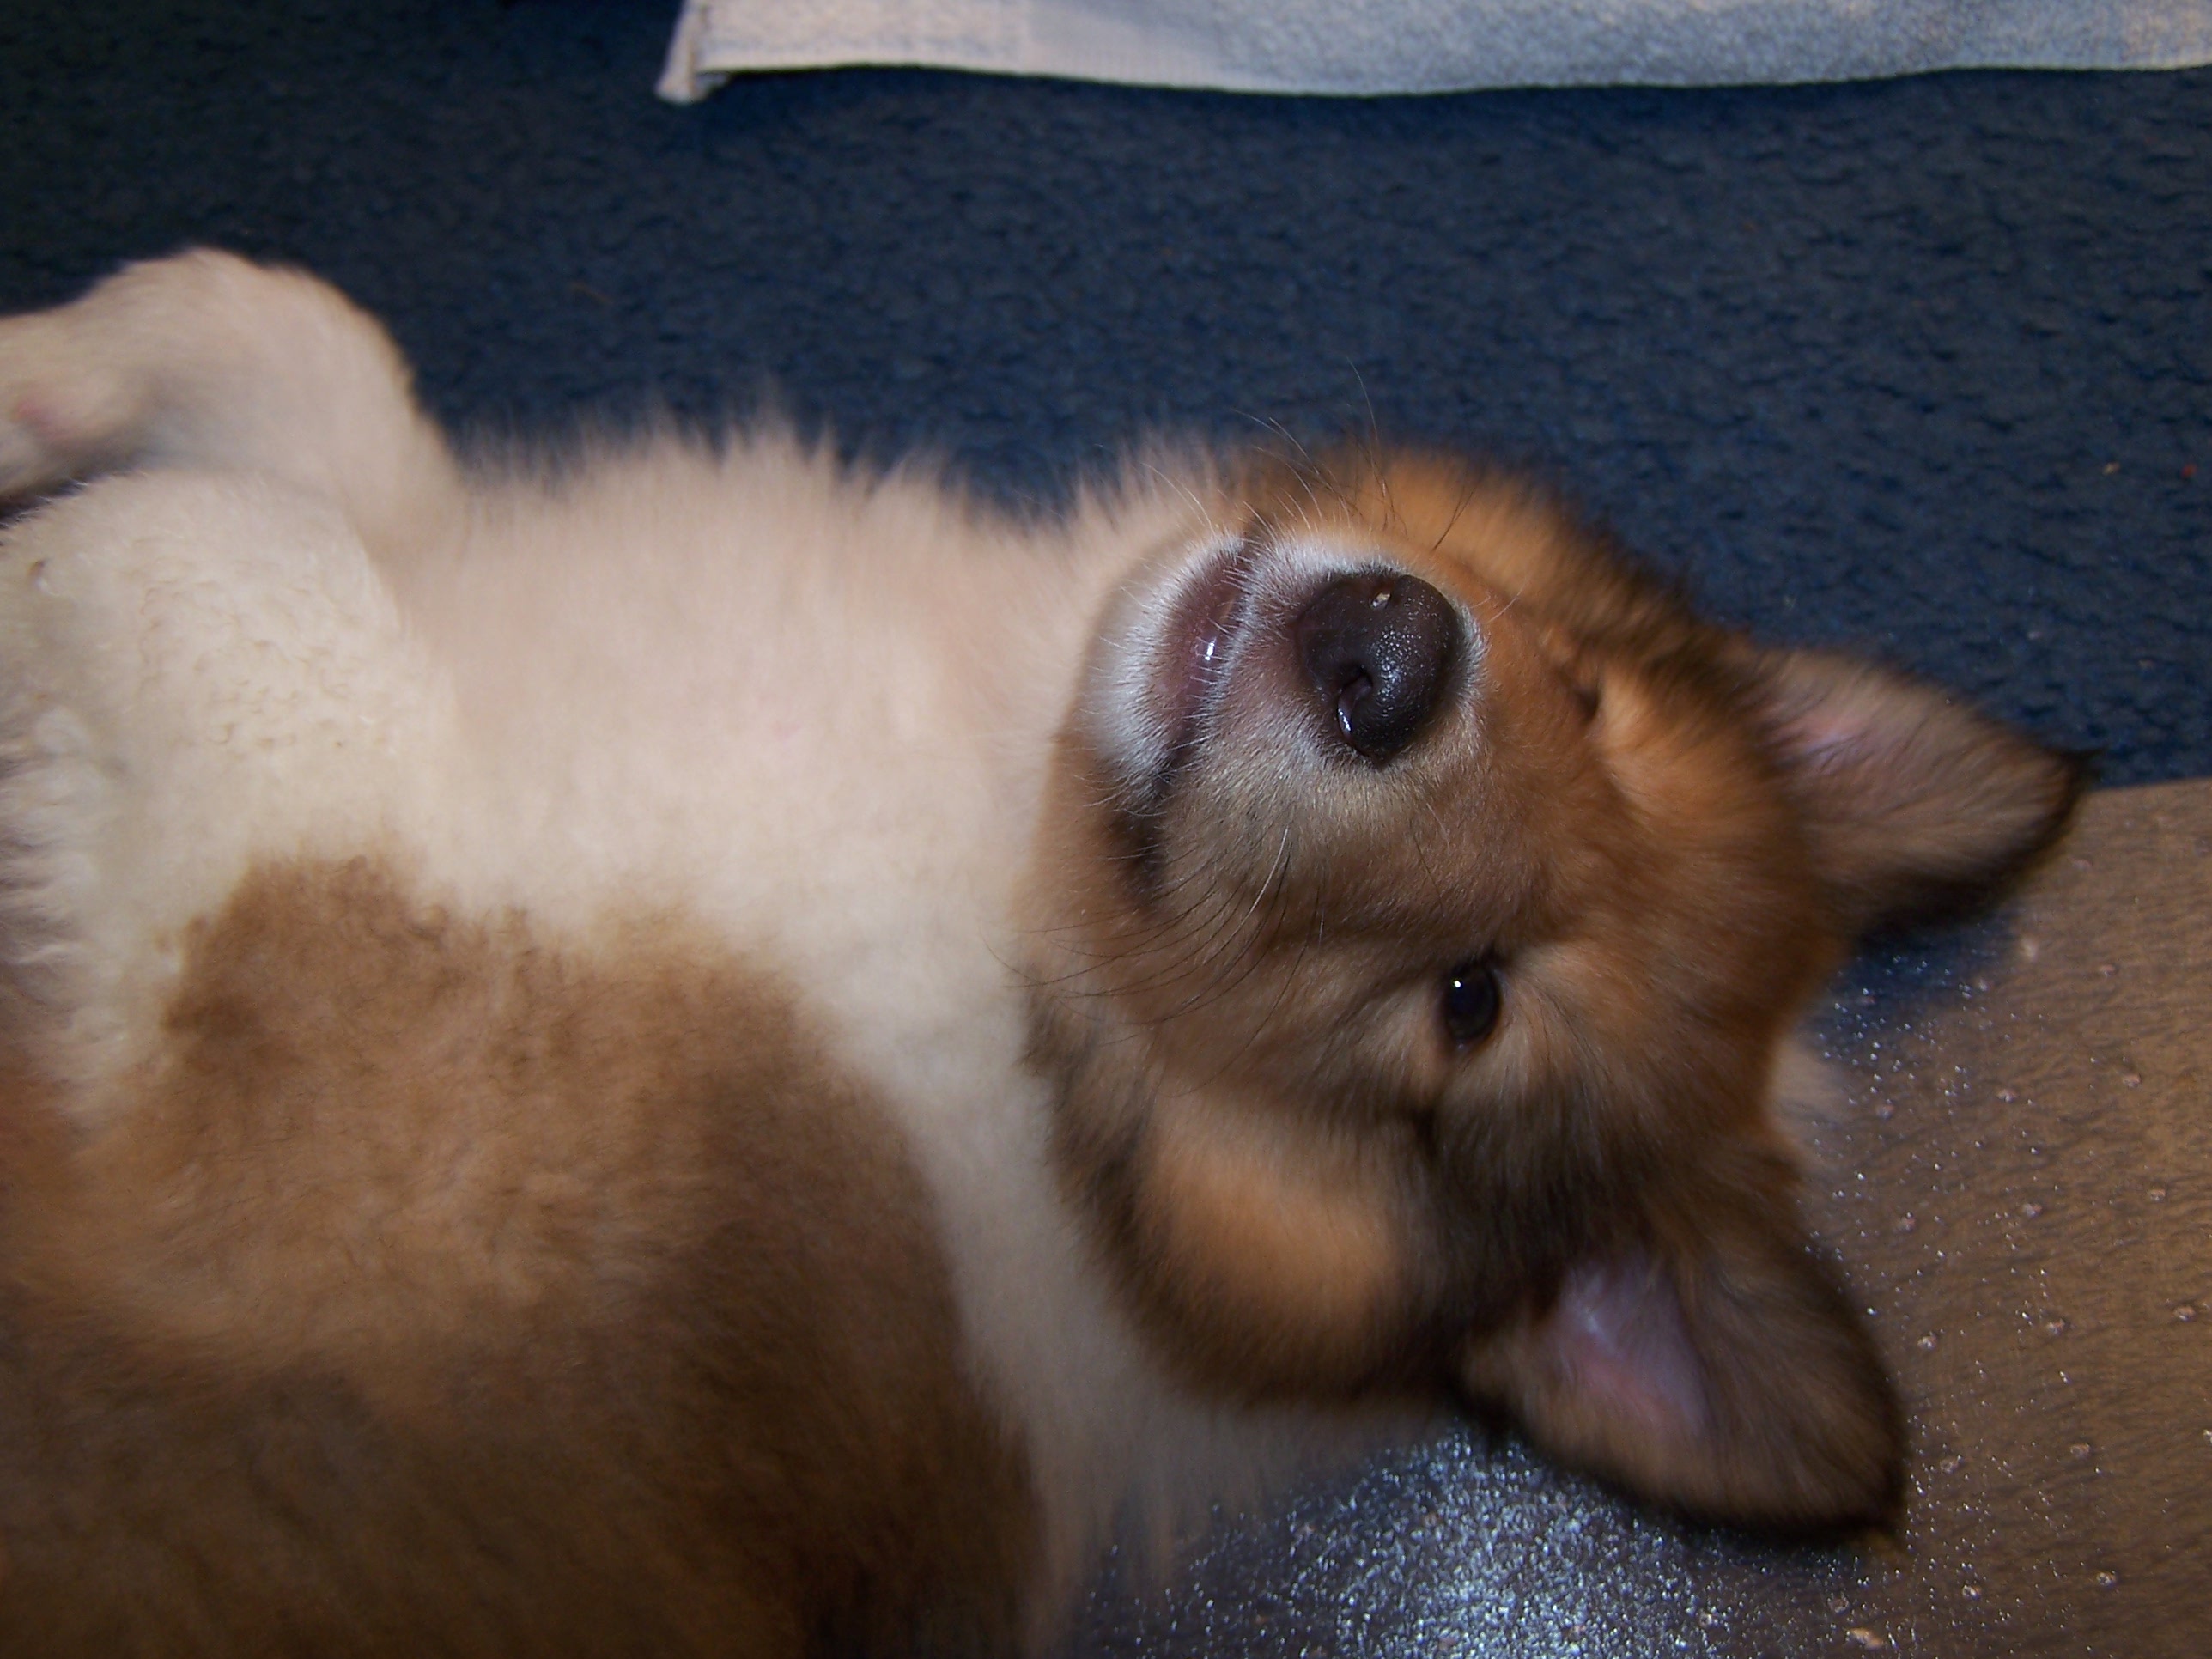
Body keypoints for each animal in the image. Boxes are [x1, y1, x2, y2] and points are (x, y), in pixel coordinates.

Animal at [0, 252, 2077, 1655]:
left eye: (1466, 1005)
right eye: (1583, 695)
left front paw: (30, 585)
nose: (1386, 658)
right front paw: (33, 379)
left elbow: (208, 548)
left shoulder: (348, 1063)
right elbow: (278, 344)